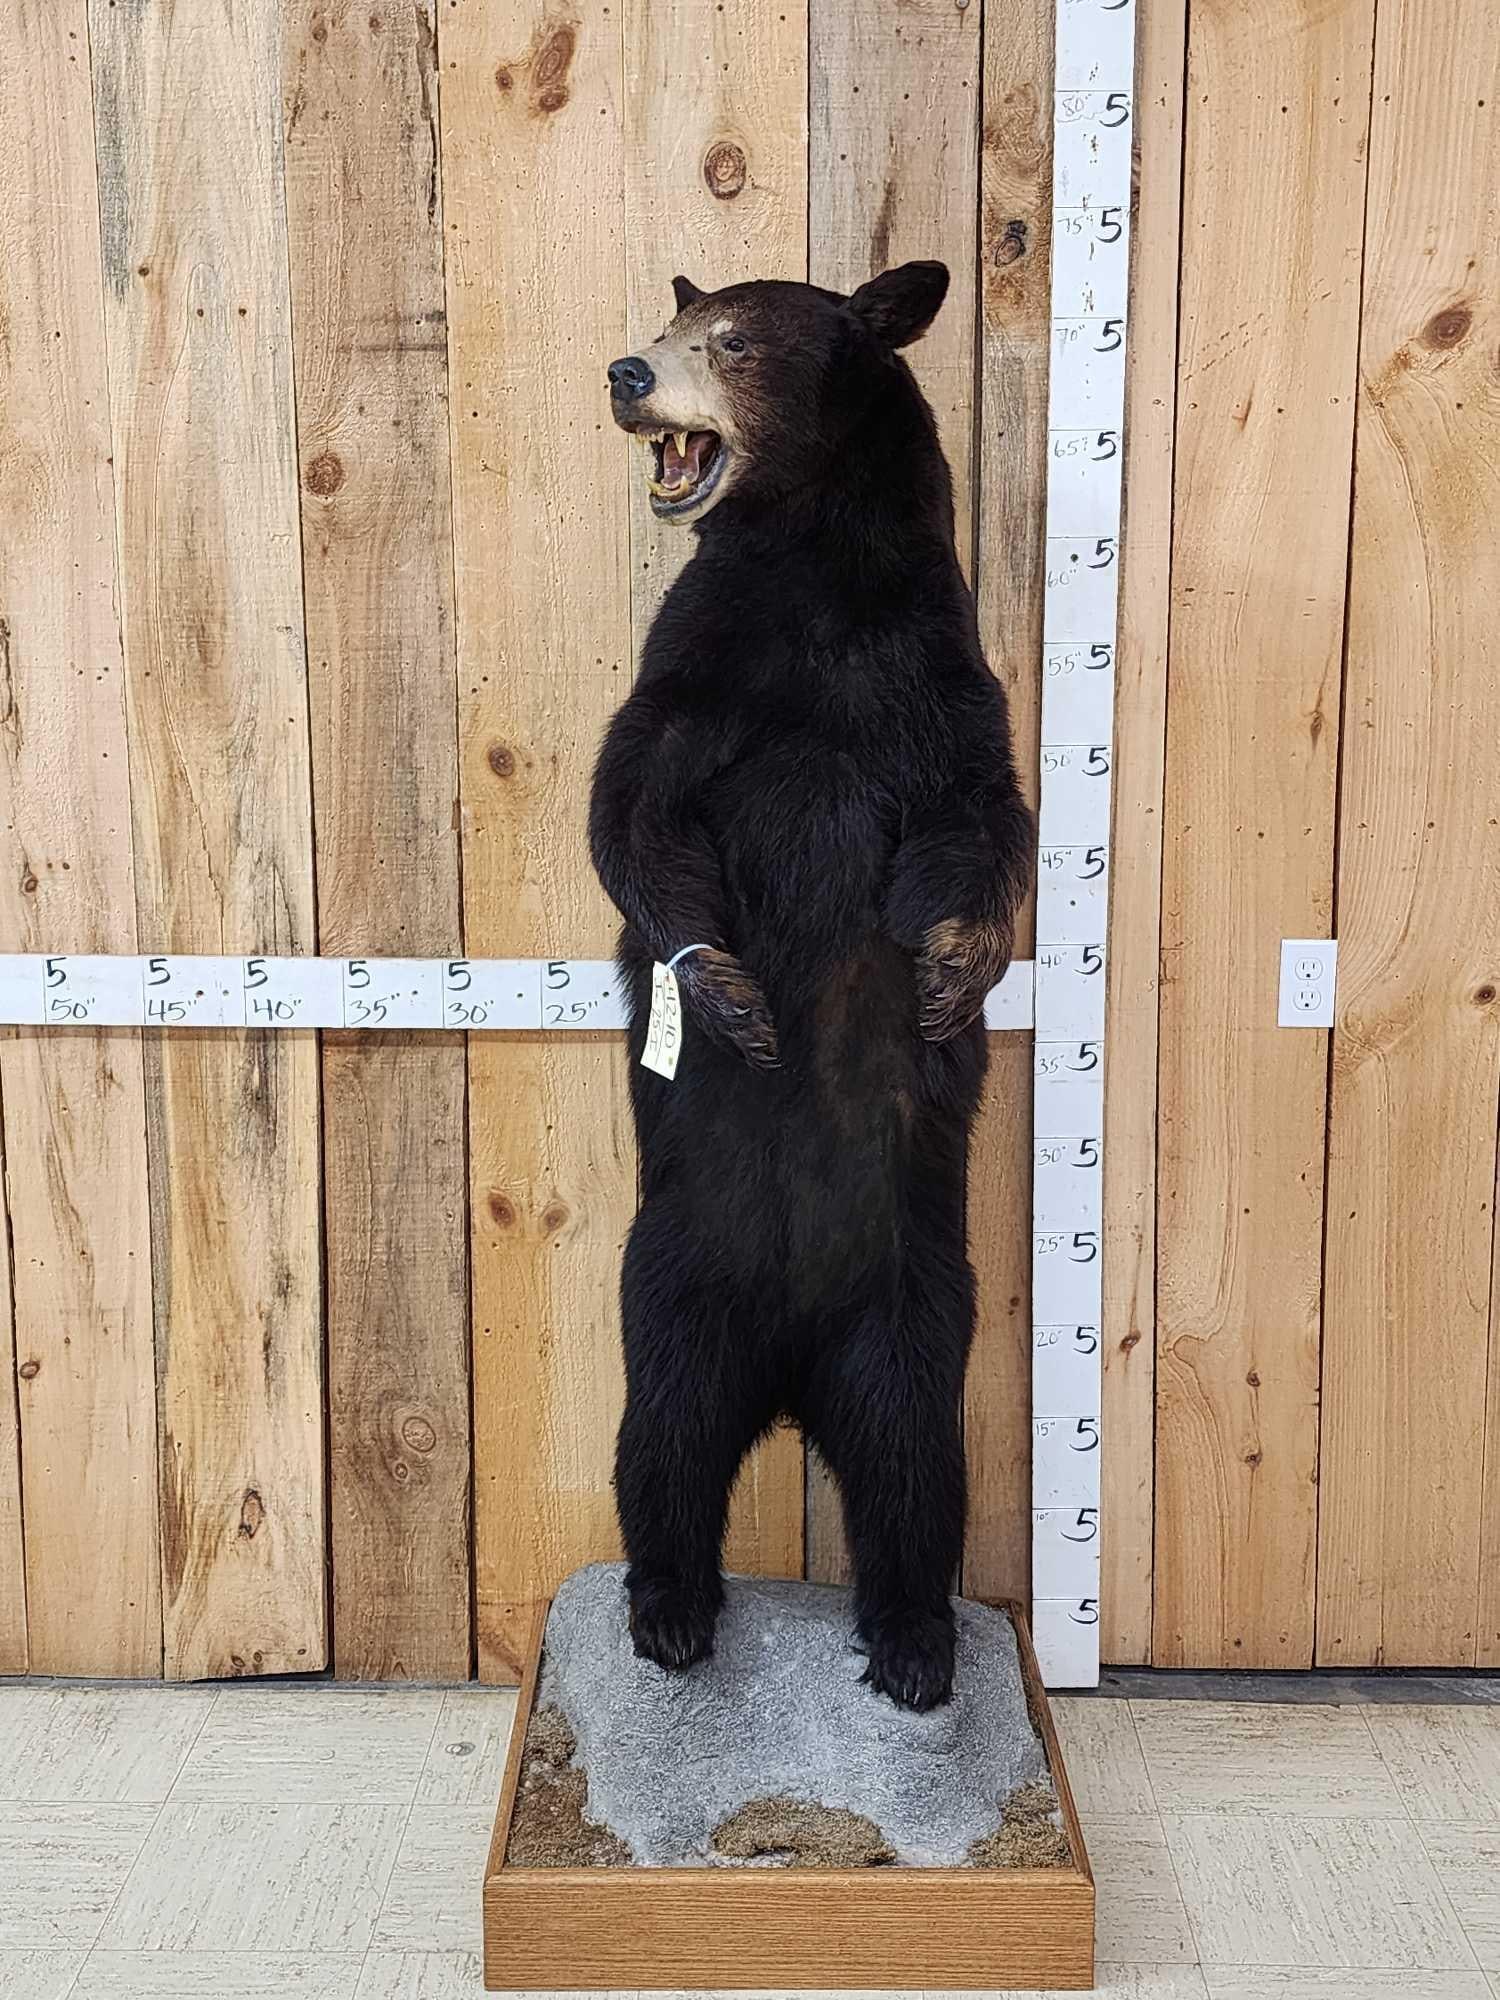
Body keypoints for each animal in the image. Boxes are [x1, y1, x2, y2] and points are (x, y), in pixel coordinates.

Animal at [589, 261, 1034, 1712]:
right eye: (670, 324)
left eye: (730, 340)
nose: (626, 372)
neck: (815, 574)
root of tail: (788, 1379)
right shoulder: (698, 664)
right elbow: (631, 803)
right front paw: (723, 992)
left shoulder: (939, 677)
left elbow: (988, 815)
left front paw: (953, 974)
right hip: (669, 1280)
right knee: (662, 1446)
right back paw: (671, 1614)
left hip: (914, 1312)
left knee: (913, 1473)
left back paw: (914, 1646)